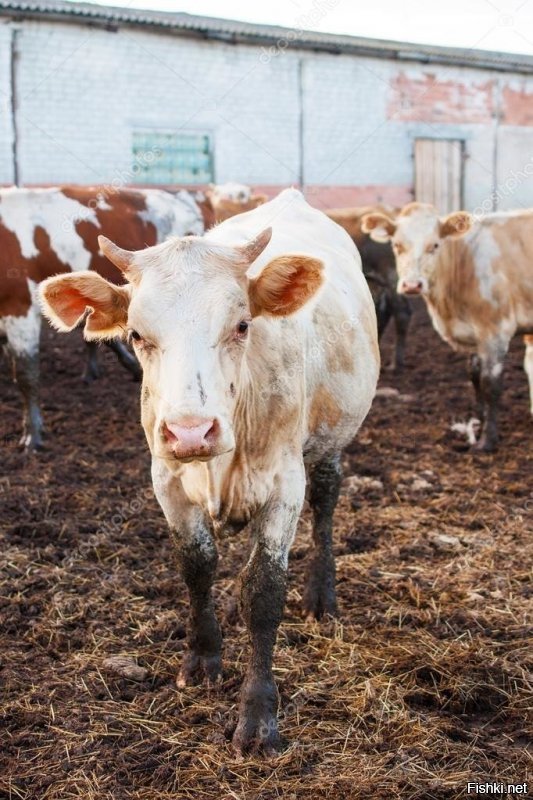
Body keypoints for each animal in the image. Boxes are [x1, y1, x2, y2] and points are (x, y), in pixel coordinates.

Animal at [38, 191, 378, 752]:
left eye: (242, 325)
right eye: (136, 333)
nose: (192, 432)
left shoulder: (284, 484)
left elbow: (264, 590)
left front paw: (258, 716)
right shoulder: (167, 481)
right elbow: (196, 566)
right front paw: (201, 658)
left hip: (332, 437)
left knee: (327, 501)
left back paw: (320, 595)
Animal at [362, 202, 532, 450]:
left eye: (434, 245)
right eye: (397, 245)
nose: (412, 285)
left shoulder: (496, 331)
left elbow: (490, 384)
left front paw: (487, 441)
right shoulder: (475, 334)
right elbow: (474, 376)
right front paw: (478, 422)